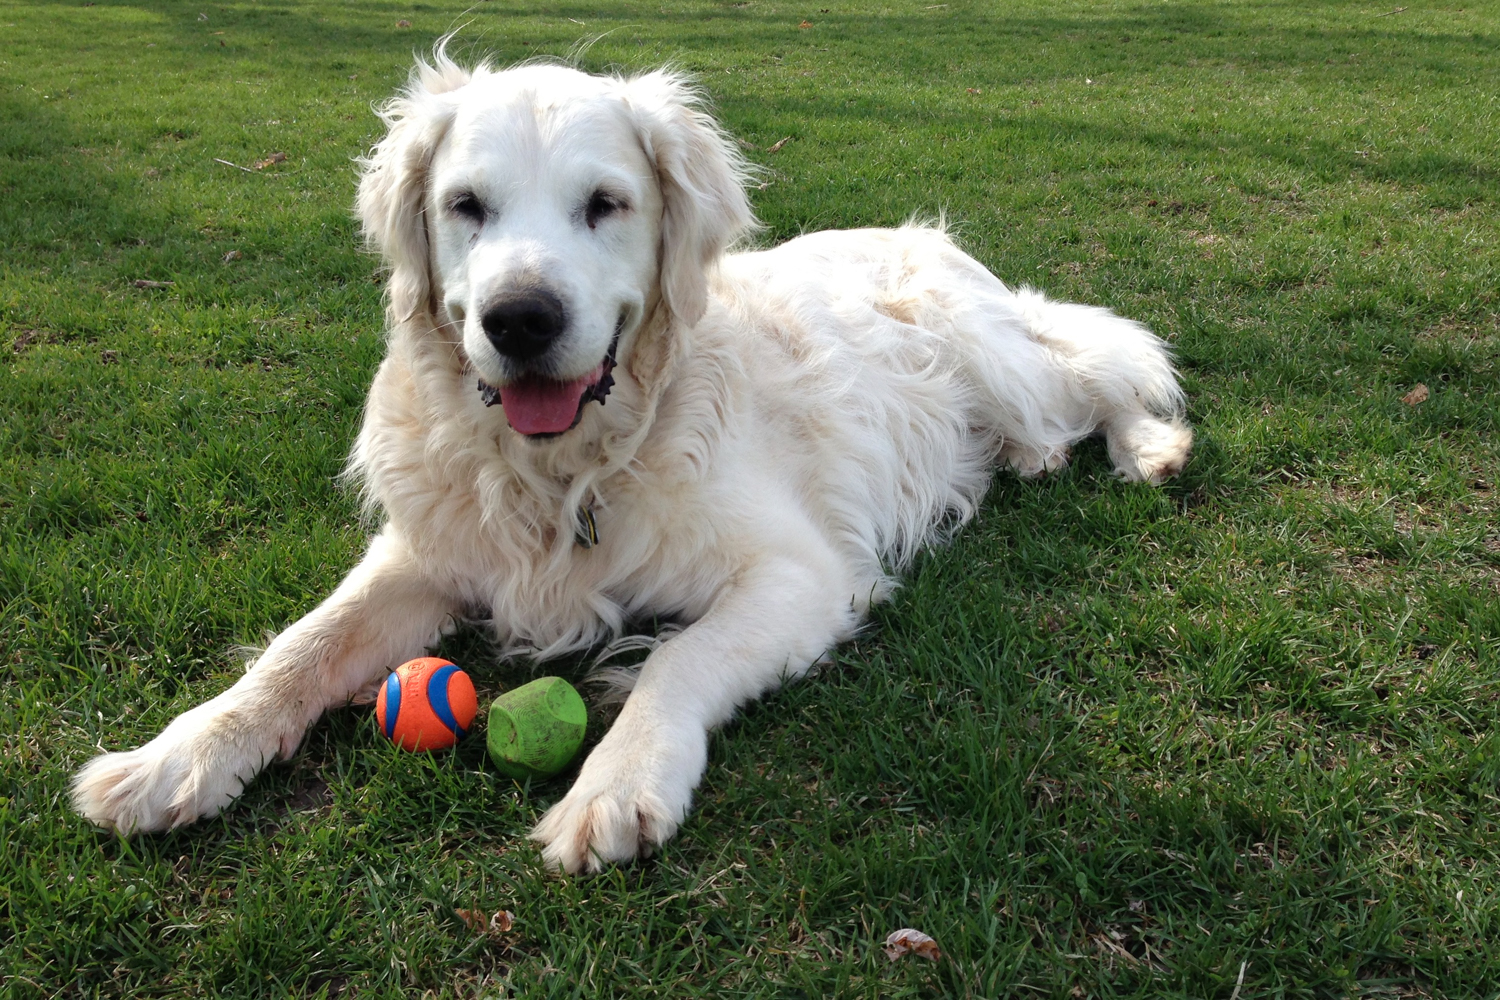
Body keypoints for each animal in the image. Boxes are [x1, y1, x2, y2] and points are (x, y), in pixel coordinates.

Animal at [72, 51, 1191, 873]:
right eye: (466, 205)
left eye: (605, 204)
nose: (519, 320)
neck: (567, 471)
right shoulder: (427, 552)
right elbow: (299, 649)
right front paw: (172, 757)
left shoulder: (804, 572)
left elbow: (679, 658)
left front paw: (616, 785)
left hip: (987, 348)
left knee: (1098, 371)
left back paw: (1149, 447)